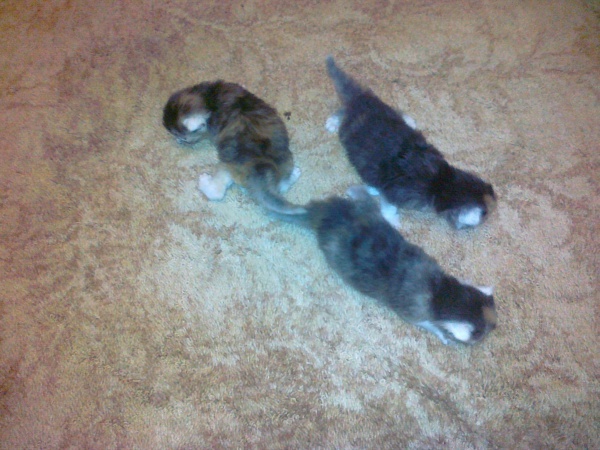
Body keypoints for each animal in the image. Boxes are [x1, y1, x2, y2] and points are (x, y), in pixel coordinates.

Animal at [163, 81, 304, 214]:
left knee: (217, 191)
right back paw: (294, 175)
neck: (209, 98)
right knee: (282, 185)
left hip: (227, 164)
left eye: (183, 138)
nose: (179, 141)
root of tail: (262, 169)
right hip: (284, 160)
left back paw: (204, 182)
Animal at [270, 185, 497, 345]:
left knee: (365, 200)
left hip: (365, 212)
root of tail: (325, 214)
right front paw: (442, 334)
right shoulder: (412, 313)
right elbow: (428, 324)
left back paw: (356, 190)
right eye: (481, 333)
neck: (440, 290)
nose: (495, 326)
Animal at [325, 56, 496, 229]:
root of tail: (361, 99)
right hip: (350, 125)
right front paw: (391, 220)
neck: (439, 180)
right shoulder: (394, 191)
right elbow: (388, 204)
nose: (487, 215)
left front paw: (372, 190)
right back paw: (333, 121)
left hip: (383, 109)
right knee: (343, 109)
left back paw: (408, 120)